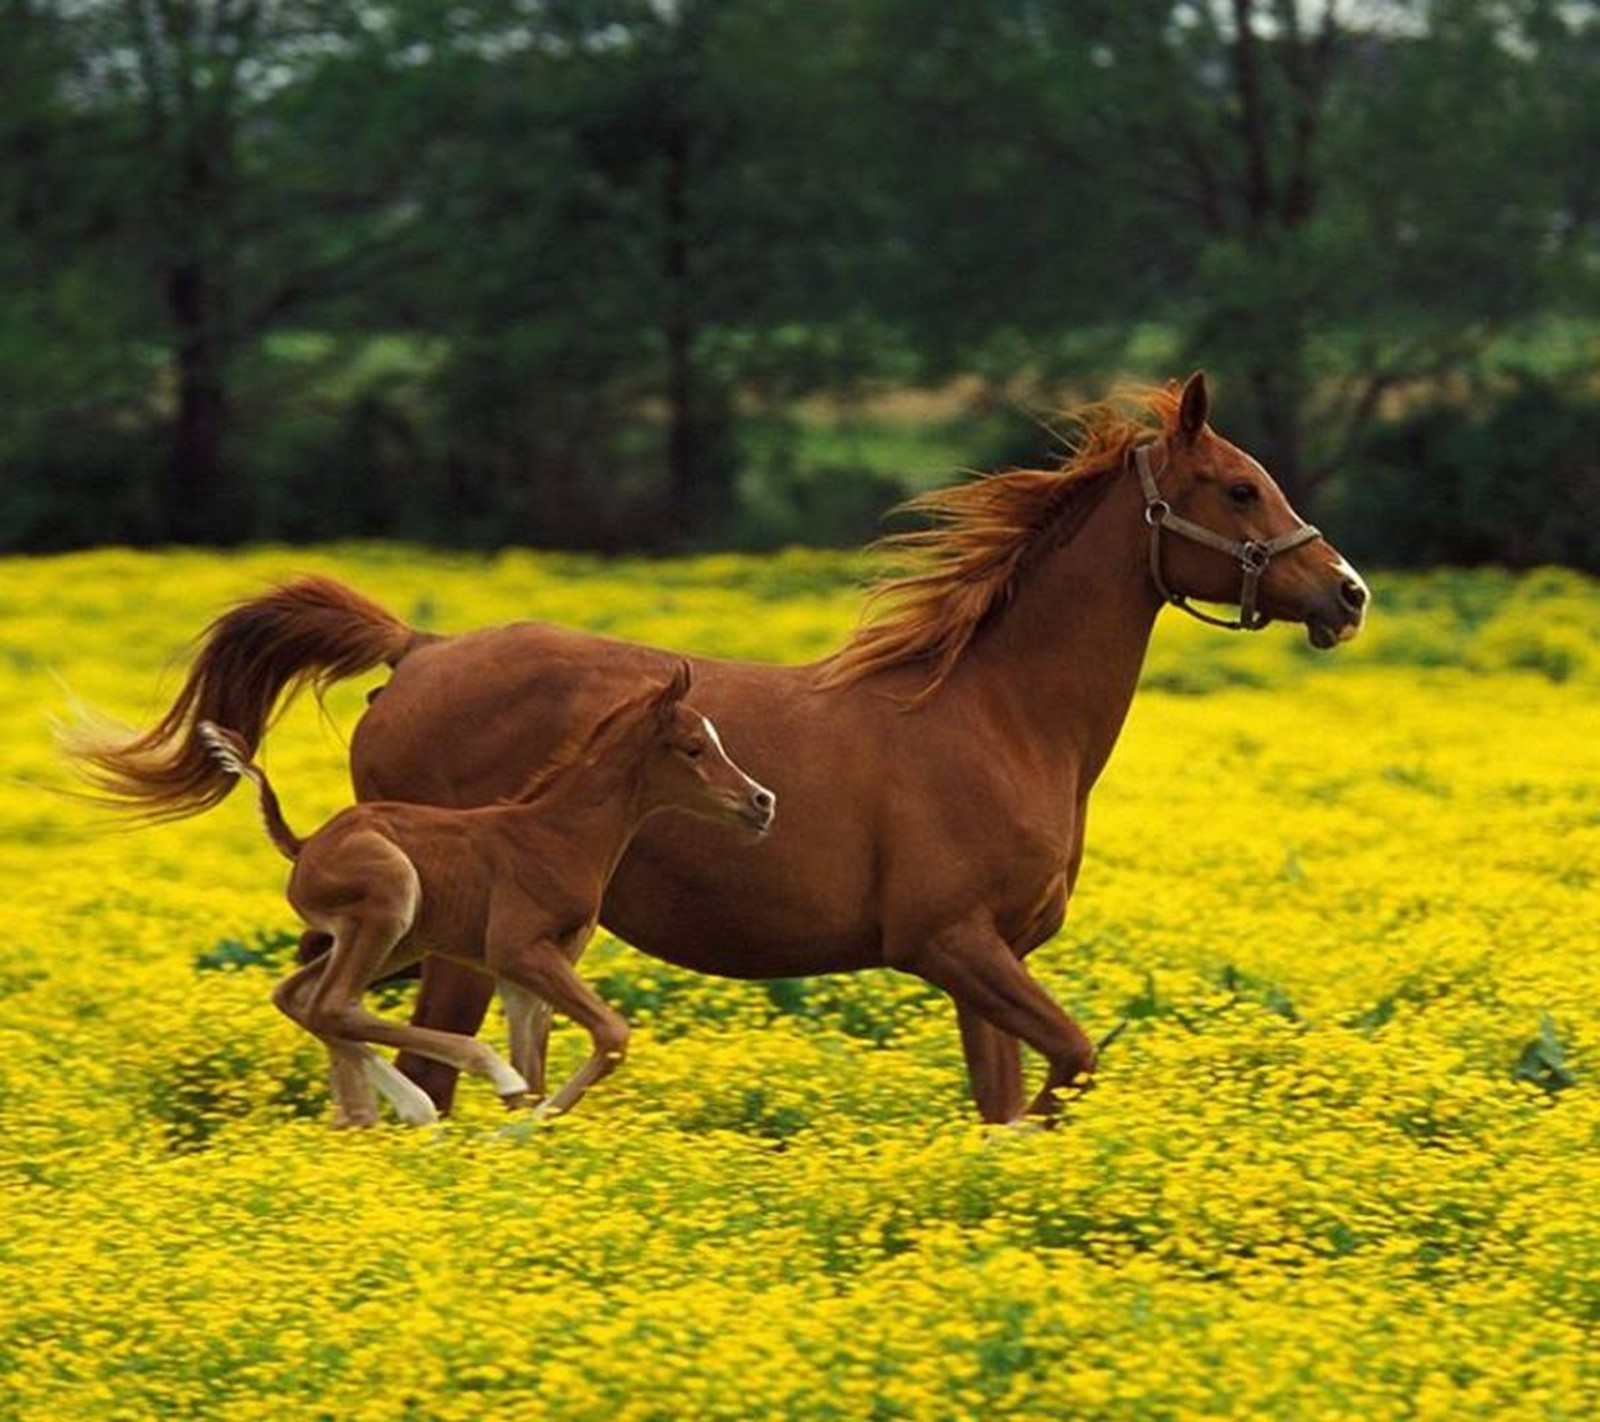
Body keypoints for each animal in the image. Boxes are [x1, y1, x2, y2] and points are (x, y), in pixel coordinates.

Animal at [200, 659, 774, 1126]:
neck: (560, 836)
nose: (762, 801)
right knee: (334, 1004)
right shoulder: (515, 950)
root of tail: (303, 845)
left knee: (300, 997)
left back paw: (399, 1109)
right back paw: (455, 1088)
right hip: (391, 901)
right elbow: (610, 1036)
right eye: (694, 748)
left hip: (397, 939)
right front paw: (516, 1127)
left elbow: (539, 1066)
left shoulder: (529, 971)